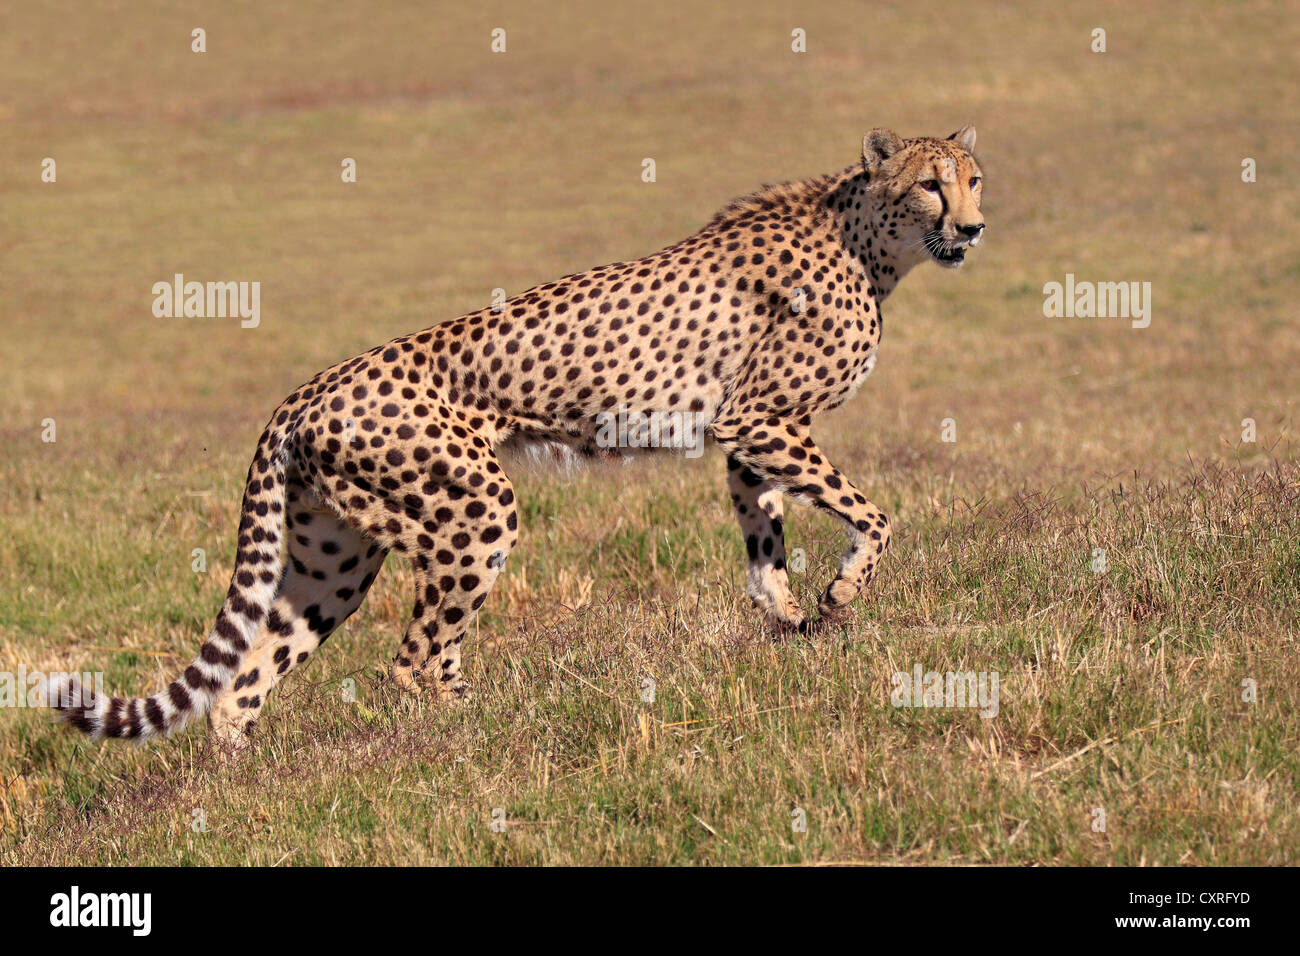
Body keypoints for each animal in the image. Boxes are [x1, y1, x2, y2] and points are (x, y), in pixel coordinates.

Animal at [48, 125, 982, 749]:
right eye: (931, 186)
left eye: (975, 179)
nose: (973, 227)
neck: (868, 238)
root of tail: (303, 389)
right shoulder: (759, 417)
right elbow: (874, 514)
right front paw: (842, 591)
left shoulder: (751, 431)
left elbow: (765, 536)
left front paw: (788, 615)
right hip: (472, 510)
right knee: (415, 657)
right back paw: (480, 733)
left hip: (336, 554)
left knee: (244, 682)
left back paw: (249, 787)